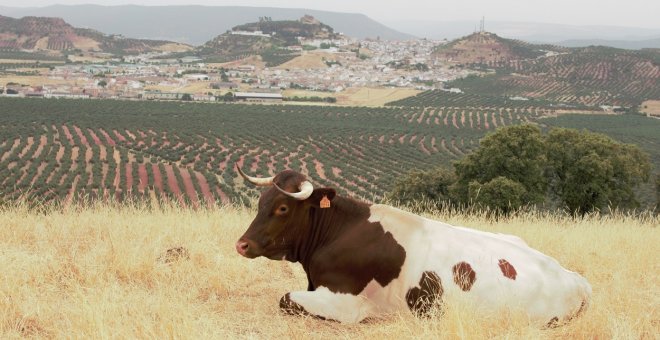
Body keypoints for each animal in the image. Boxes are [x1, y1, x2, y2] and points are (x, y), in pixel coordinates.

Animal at [233, 169, 592, 326]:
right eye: (261, 201)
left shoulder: (347, 305)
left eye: (282, 207)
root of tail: (576, 279)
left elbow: (284, 298)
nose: (242, 243)